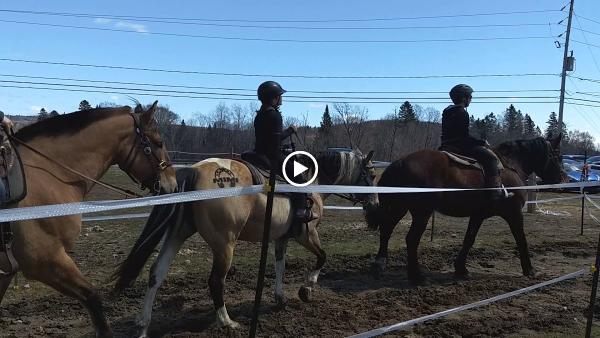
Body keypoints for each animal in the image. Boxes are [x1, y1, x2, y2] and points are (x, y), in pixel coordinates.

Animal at [0, 101, 178, 336]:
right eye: (158, 143)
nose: (173, 184)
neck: (48, 175)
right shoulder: (45, 260)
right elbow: (93, 298)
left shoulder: (8, 271)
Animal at [110, 149, 378, 336]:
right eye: (372, 175)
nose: (375, 204)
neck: (312, 184)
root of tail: (194, 170)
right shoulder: (307, 234)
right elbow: (322, 257)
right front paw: (306, 289)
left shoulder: (281, 239)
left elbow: (280, 267)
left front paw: (280, 298)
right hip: (225, 245)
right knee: (215, 281)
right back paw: (226, 321)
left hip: (178, 234)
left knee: (156, 273)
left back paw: (143, 324)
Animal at [366, 135, 568, 282]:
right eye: (557, 155)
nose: (562, 178)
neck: (512, 166)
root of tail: (400, 162)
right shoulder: (514, 213)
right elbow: (521, 239)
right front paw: (529, 269)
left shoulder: (478, 215)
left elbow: (469, 239)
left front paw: (461, 268)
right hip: (421, 213)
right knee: (411, 239)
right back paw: (416, 276)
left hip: (399, 208)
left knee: (386, 230)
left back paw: (379, 265)